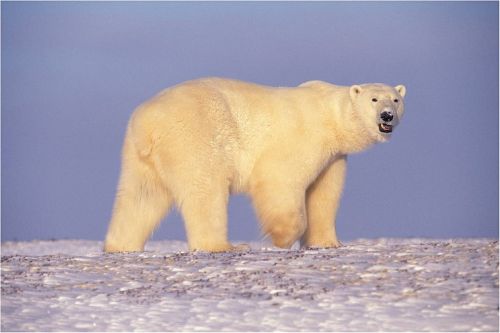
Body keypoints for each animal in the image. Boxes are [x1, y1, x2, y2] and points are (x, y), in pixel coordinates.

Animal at [103, 78, 404, 252]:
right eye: (374, 99)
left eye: (396, 99)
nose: (387, 115)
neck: (329, 116)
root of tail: (148, 123)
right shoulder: (302, 136)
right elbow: (280, 179)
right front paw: (282, 237)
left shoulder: (333, 156)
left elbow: (323, 195)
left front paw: (327, 242)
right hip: (195, 136)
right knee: (206, 191)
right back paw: (223, 246)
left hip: (139, 156)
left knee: (140, 197)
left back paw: (120, 245)